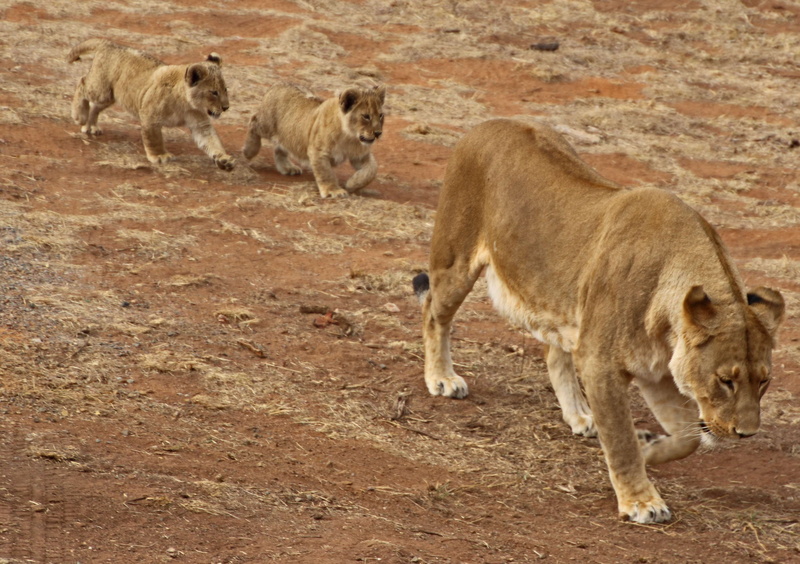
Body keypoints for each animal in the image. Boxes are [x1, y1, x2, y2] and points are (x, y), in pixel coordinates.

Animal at [67, 38, 236, 171]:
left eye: (225, 89)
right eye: (214, 92)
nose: (226, 107)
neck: (185, 103)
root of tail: (109, 44)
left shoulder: (200, 124)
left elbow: (212, 141)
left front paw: (224, 160)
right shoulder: (150, 116)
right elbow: (154, 138)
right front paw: (159, 156)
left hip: (109, 97)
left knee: (95, 106)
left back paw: (91, 126)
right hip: (100, 89)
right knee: (82, 82)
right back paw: (79, 116)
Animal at [242, 82, 385, 198]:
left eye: (380, 115)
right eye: (366, 116)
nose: (378, 133)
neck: (349, 137)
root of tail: (277, 85)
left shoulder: (360, 155)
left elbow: (372, 170)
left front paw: (352, 184)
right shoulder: (318, 152)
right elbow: (325, 172)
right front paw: (334, 191)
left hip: (287, 134)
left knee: (280, 148)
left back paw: (288, 167)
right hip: (267, 125)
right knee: (253, 121)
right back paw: (249, 151)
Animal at [413, 119, 785, 524]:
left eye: (764, 381)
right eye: (725, 381)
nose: (746, 433)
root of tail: (490, 123)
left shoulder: (657, 372)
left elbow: (686, 438)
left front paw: (649, 447)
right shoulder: (600, 364)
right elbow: (621, 439)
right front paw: (641, 501)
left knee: (554, 352)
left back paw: (579, 415)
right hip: (455, 261)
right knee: (433, 310)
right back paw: (442, 378)